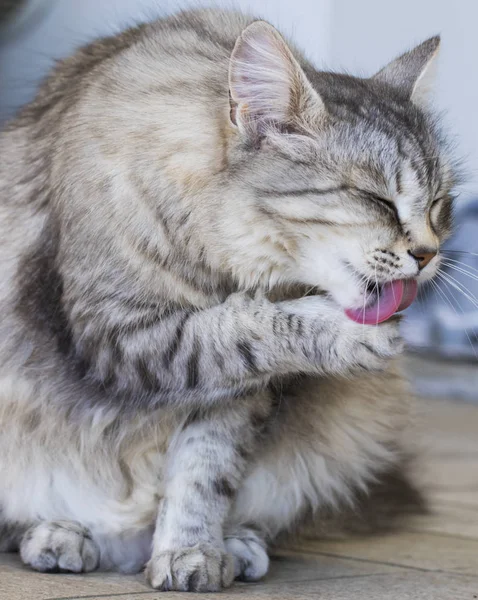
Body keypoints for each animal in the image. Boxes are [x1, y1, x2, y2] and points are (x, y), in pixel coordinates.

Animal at [0, 7, 456, 592]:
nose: (429, 254)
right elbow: (239, 328)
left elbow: (202, 475)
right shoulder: (117, 333)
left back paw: (238, 545)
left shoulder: (237, 395)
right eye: (376, 199)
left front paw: (190, 553)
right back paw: (58, 534)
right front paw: (343, 334)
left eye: (441, 204)